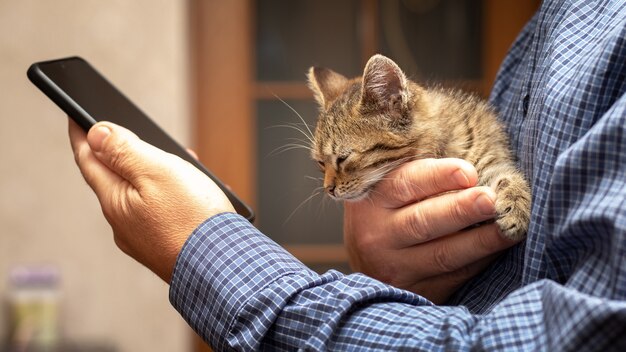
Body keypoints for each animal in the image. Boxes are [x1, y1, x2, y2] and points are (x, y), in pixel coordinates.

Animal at [304, 53, 528, 241]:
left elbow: (506, 176)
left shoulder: (491, 157)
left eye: (343, 158)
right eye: (321, 163)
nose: (329, 189)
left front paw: (517, 207)